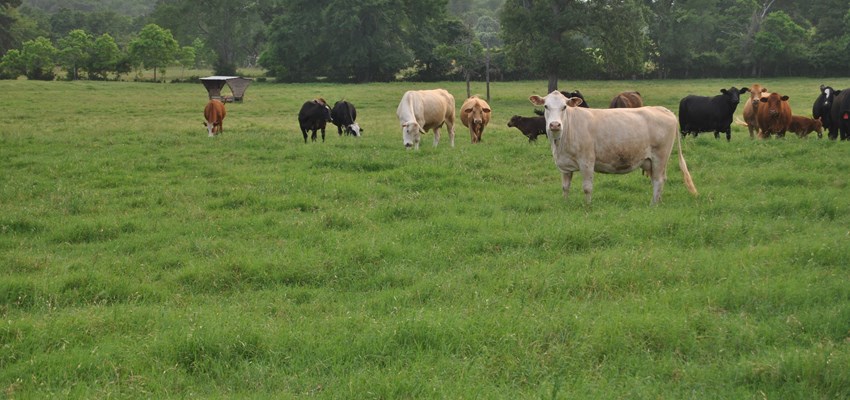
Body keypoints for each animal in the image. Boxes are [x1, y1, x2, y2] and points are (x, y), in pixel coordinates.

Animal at [529, 91, 697, 205]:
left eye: (564, 107)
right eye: (546, 106)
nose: (555, 125)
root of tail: (662, 109)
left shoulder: (587, 162)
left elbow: (587, 187)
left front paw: (587, 206)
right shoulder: (564, 166)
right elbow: (565, 187)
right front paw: (565, 203)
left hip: (660, 157)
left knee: (658, 180)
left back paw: (653, 205)